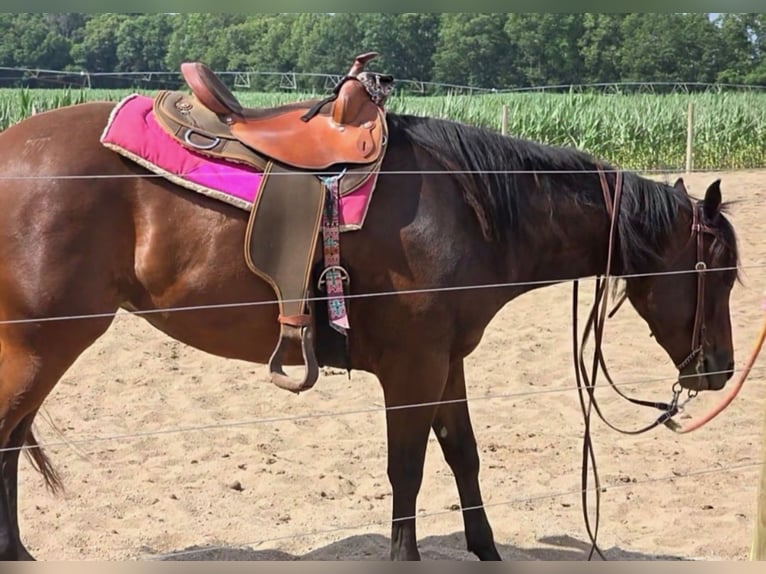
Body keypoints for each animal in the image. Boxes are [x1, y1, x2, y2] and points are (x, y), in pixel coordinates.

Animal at [0, 101, 740, 561]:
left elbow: (462, 454)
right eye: (723, 273)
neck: (468, 207)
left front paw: (486, 548)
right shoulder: (412, 367)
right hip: (44, 340)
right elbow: (407, 468)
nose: (720, 372)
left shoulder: (446, 361)